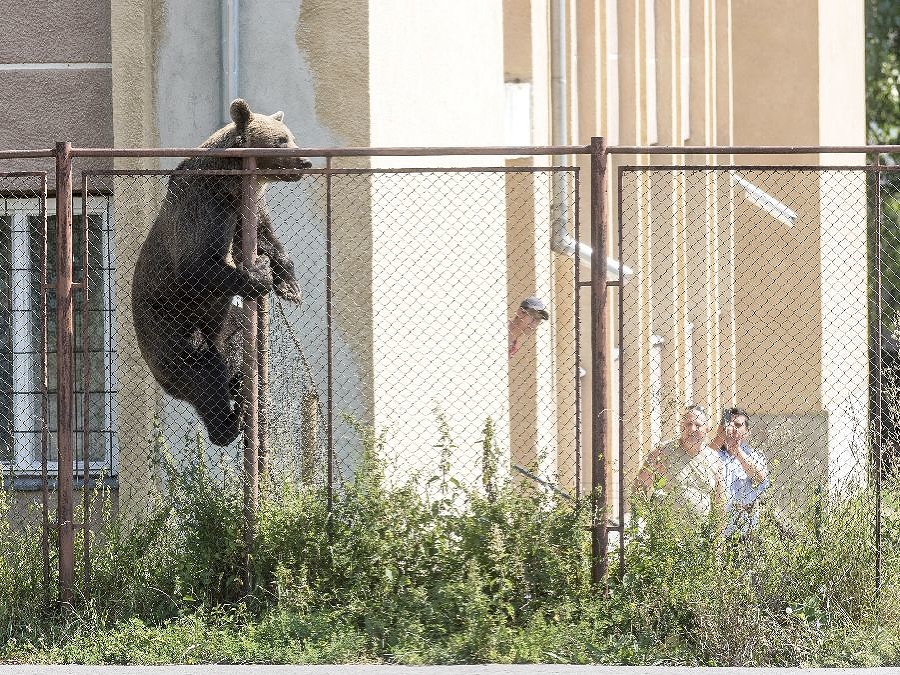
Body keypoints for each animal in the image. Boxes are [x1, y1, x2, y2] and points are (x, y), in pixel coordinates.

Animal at [132, 99, 312, 448]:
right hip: (171, 330)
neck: (233, 185)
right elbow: (197, 266)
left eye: (291, 136)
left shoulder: (246, 209)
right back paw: (231, 420)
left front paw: (289, 286)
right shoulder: (204, 206)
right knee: (202, 371)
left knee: (236, 342)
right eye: (281, 140)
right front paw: (260, 274)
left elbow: (266, 239)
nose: (305, 160)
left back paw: (244, 387)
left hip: (226, 328)